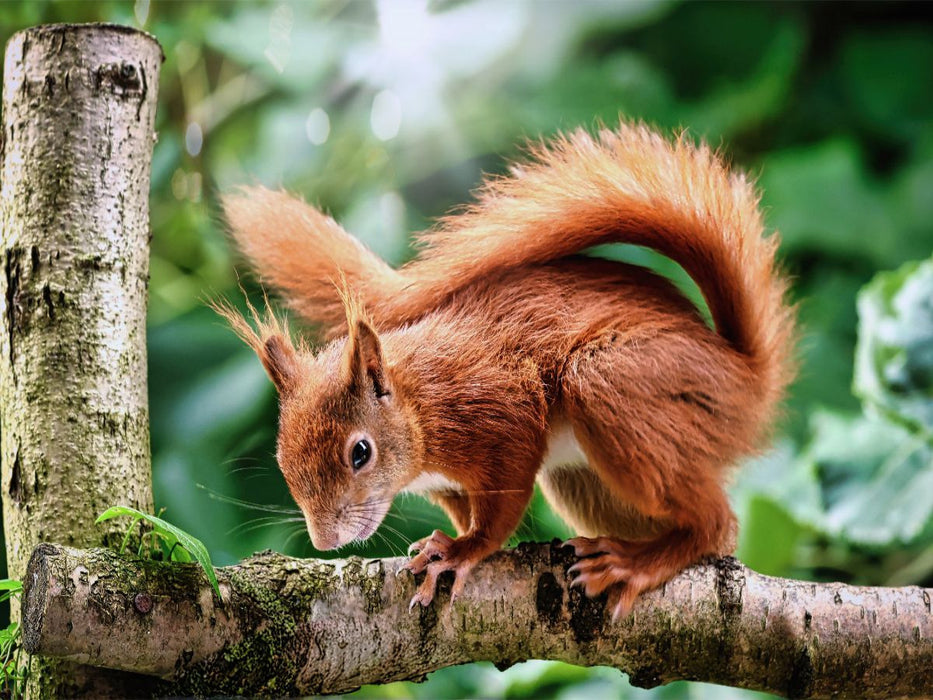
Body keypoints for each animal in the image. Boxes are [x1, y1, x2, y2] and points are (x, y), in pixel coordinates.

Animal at [217, 121, 795, 618]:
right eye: (282, 460)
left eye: (361, 453)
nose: (326, 541)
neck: (420, 402)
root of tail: (746, 379)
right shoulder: (448, 481)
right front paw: (442, 540)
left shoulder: (501, 410)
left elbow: (503, 505)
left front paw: (462, 551)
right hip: (587, 481)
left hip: (615, 382)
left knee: (717, 525)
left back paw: (637, 564)